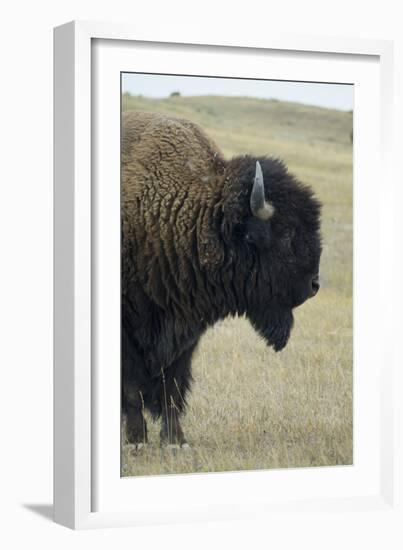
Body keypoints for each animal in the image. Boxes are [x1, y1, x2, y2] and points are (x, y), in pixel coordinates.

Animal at [121, 110, 324, 450]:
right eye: (286, 234)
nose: (314, 285)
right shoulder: (130, 333)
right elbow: (133, 388)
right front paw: (137, 441)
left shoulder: (185, 331)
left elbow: (172, 387)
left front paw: (176, 442)